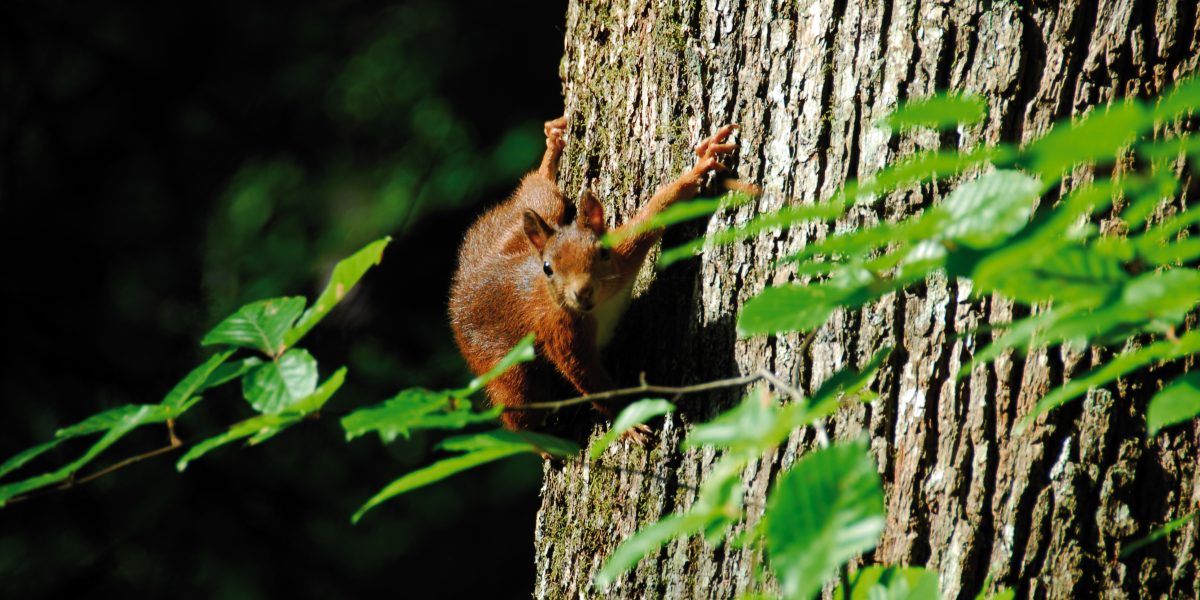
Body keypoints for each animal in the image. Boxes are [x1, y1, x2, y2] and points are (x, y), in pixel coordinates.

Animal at [449, 115, 738, 431]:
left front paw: (701, 165)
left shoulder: (624, 253)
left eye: (602, 253)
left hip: (538, 211)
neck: (600, 306)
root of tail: (464, 285)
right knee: (520, 411)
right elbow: (588, 381)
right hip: (506, 369)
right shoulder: (560, 331)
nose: (582, 292)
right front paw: (628, 422)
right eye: (547, 269)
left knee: (538, 189)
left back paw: (551, 149)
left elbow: (657, 210)